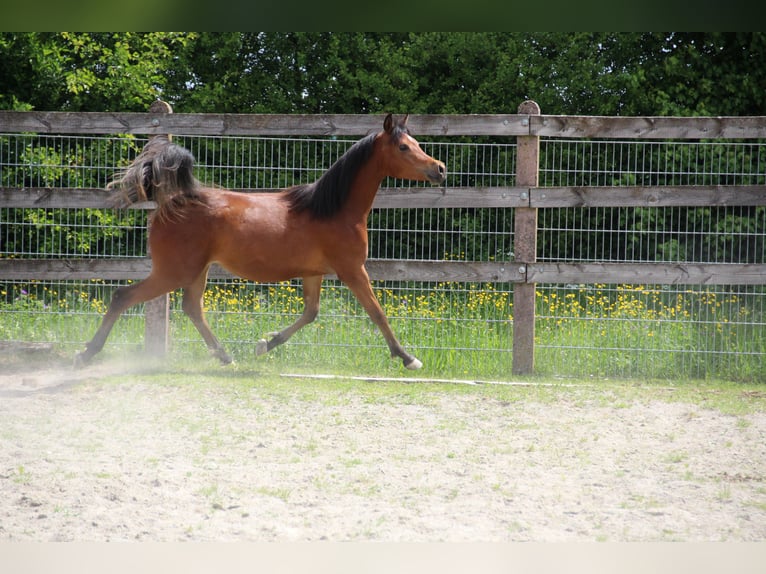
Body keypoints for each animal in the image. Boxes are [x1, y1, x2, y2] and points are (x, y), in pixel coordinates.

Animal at [75, 114, 446, 369]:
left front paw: (264, 344)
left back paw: (226, 357)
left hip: (196, 270)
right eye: (404, 147)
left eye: (416, 142)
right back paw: (87, 353)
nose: (440, 168)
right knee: (123, 297)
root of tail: (171, 202)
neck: (334, 209)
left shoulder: (314, 273)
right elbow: (378, 313)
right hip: (175, 271)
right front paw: (408, 358)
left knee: (192, 308)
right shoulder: (353, 270)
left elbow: (311, 313)